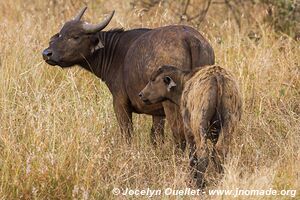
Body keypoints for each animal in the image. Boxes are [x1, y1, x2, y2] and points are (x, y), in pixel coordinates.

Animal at [42, 7, 216, 148]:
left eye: (75, 36)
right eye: (61, 34)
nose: (47, 53)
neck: (115, 53)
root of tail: (191, 39)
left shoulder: (120, 103)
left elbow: (127, 134)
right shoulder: (157, 112)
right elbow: (156, 136)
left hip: (172, 106)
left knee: (180, 136)